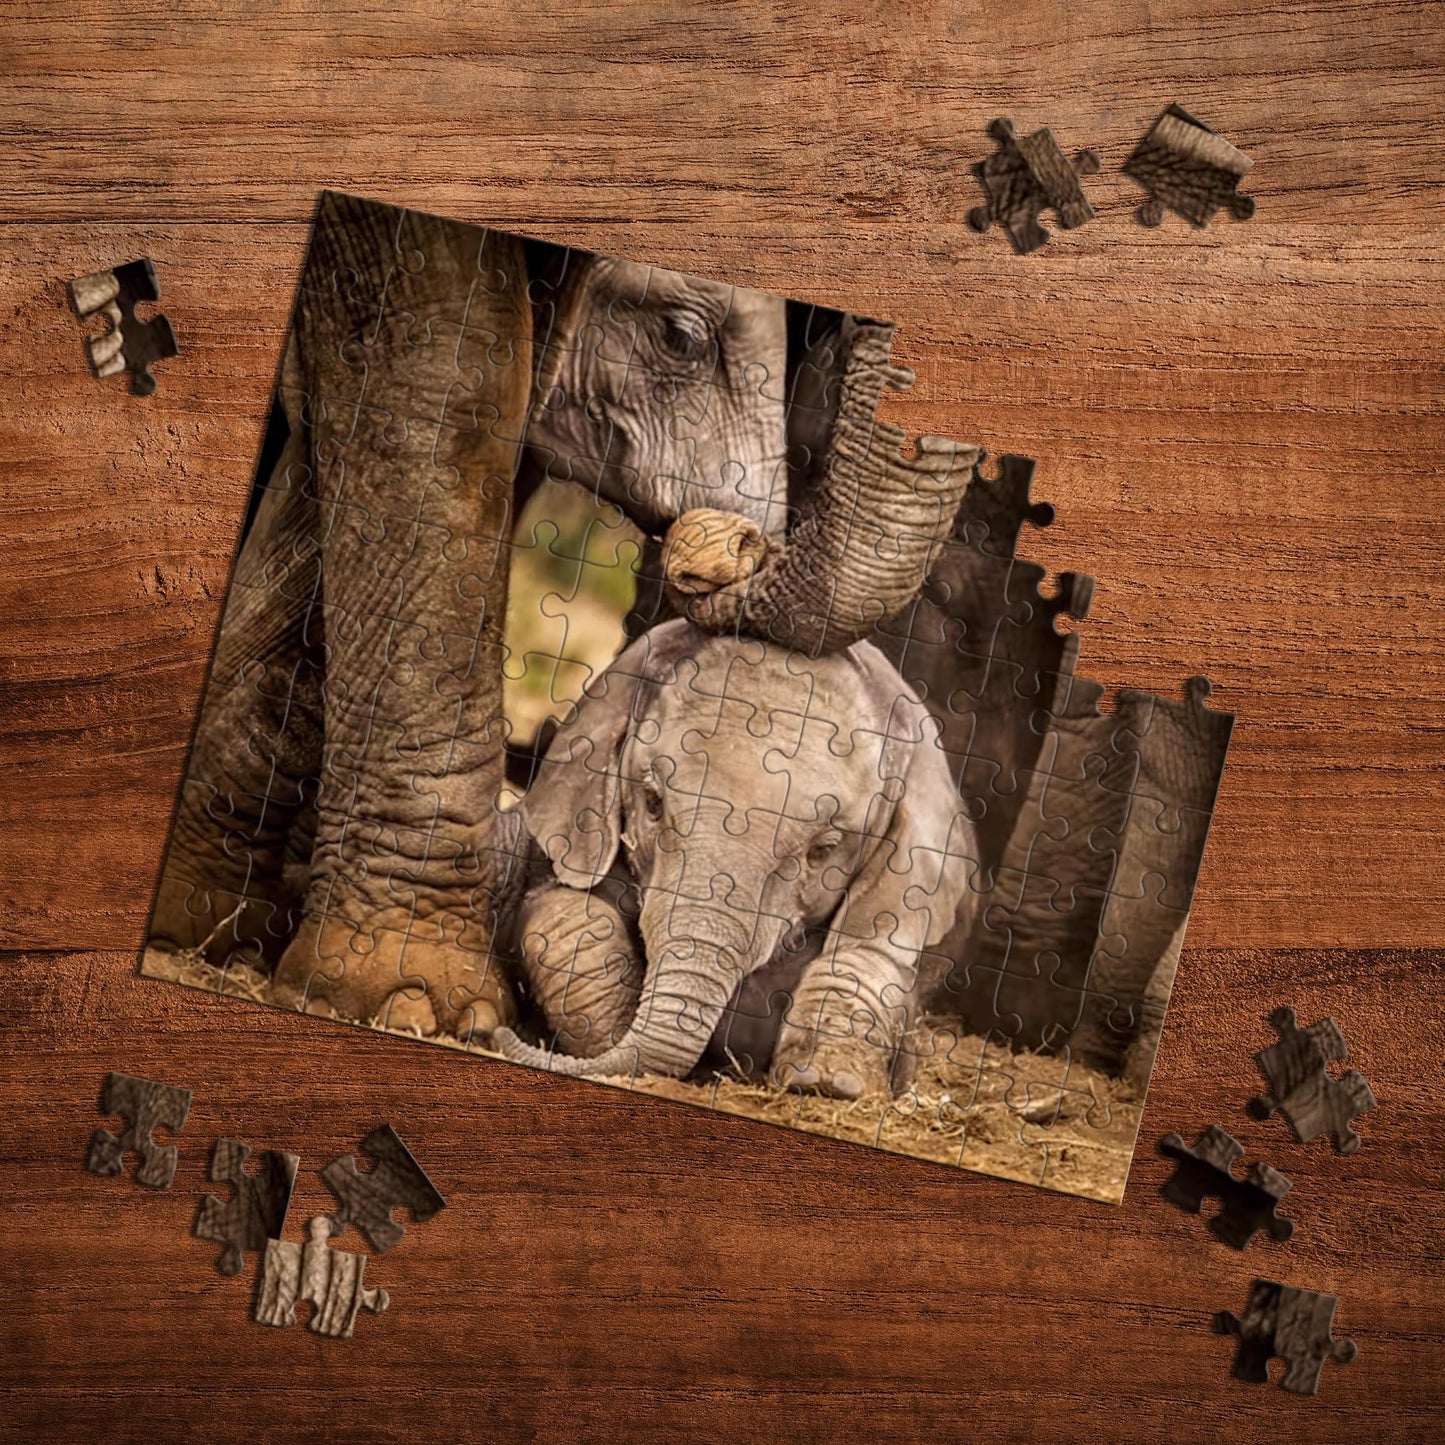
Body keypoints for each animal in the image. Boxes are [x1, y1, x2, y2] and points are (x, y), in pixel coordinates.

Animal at [492, 618, 980, 1097]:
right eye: (652, 803)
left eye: (823, 849)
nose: (499, 1036)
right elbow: (566, 914)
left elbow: (865, 957)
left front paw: (826, 1081)